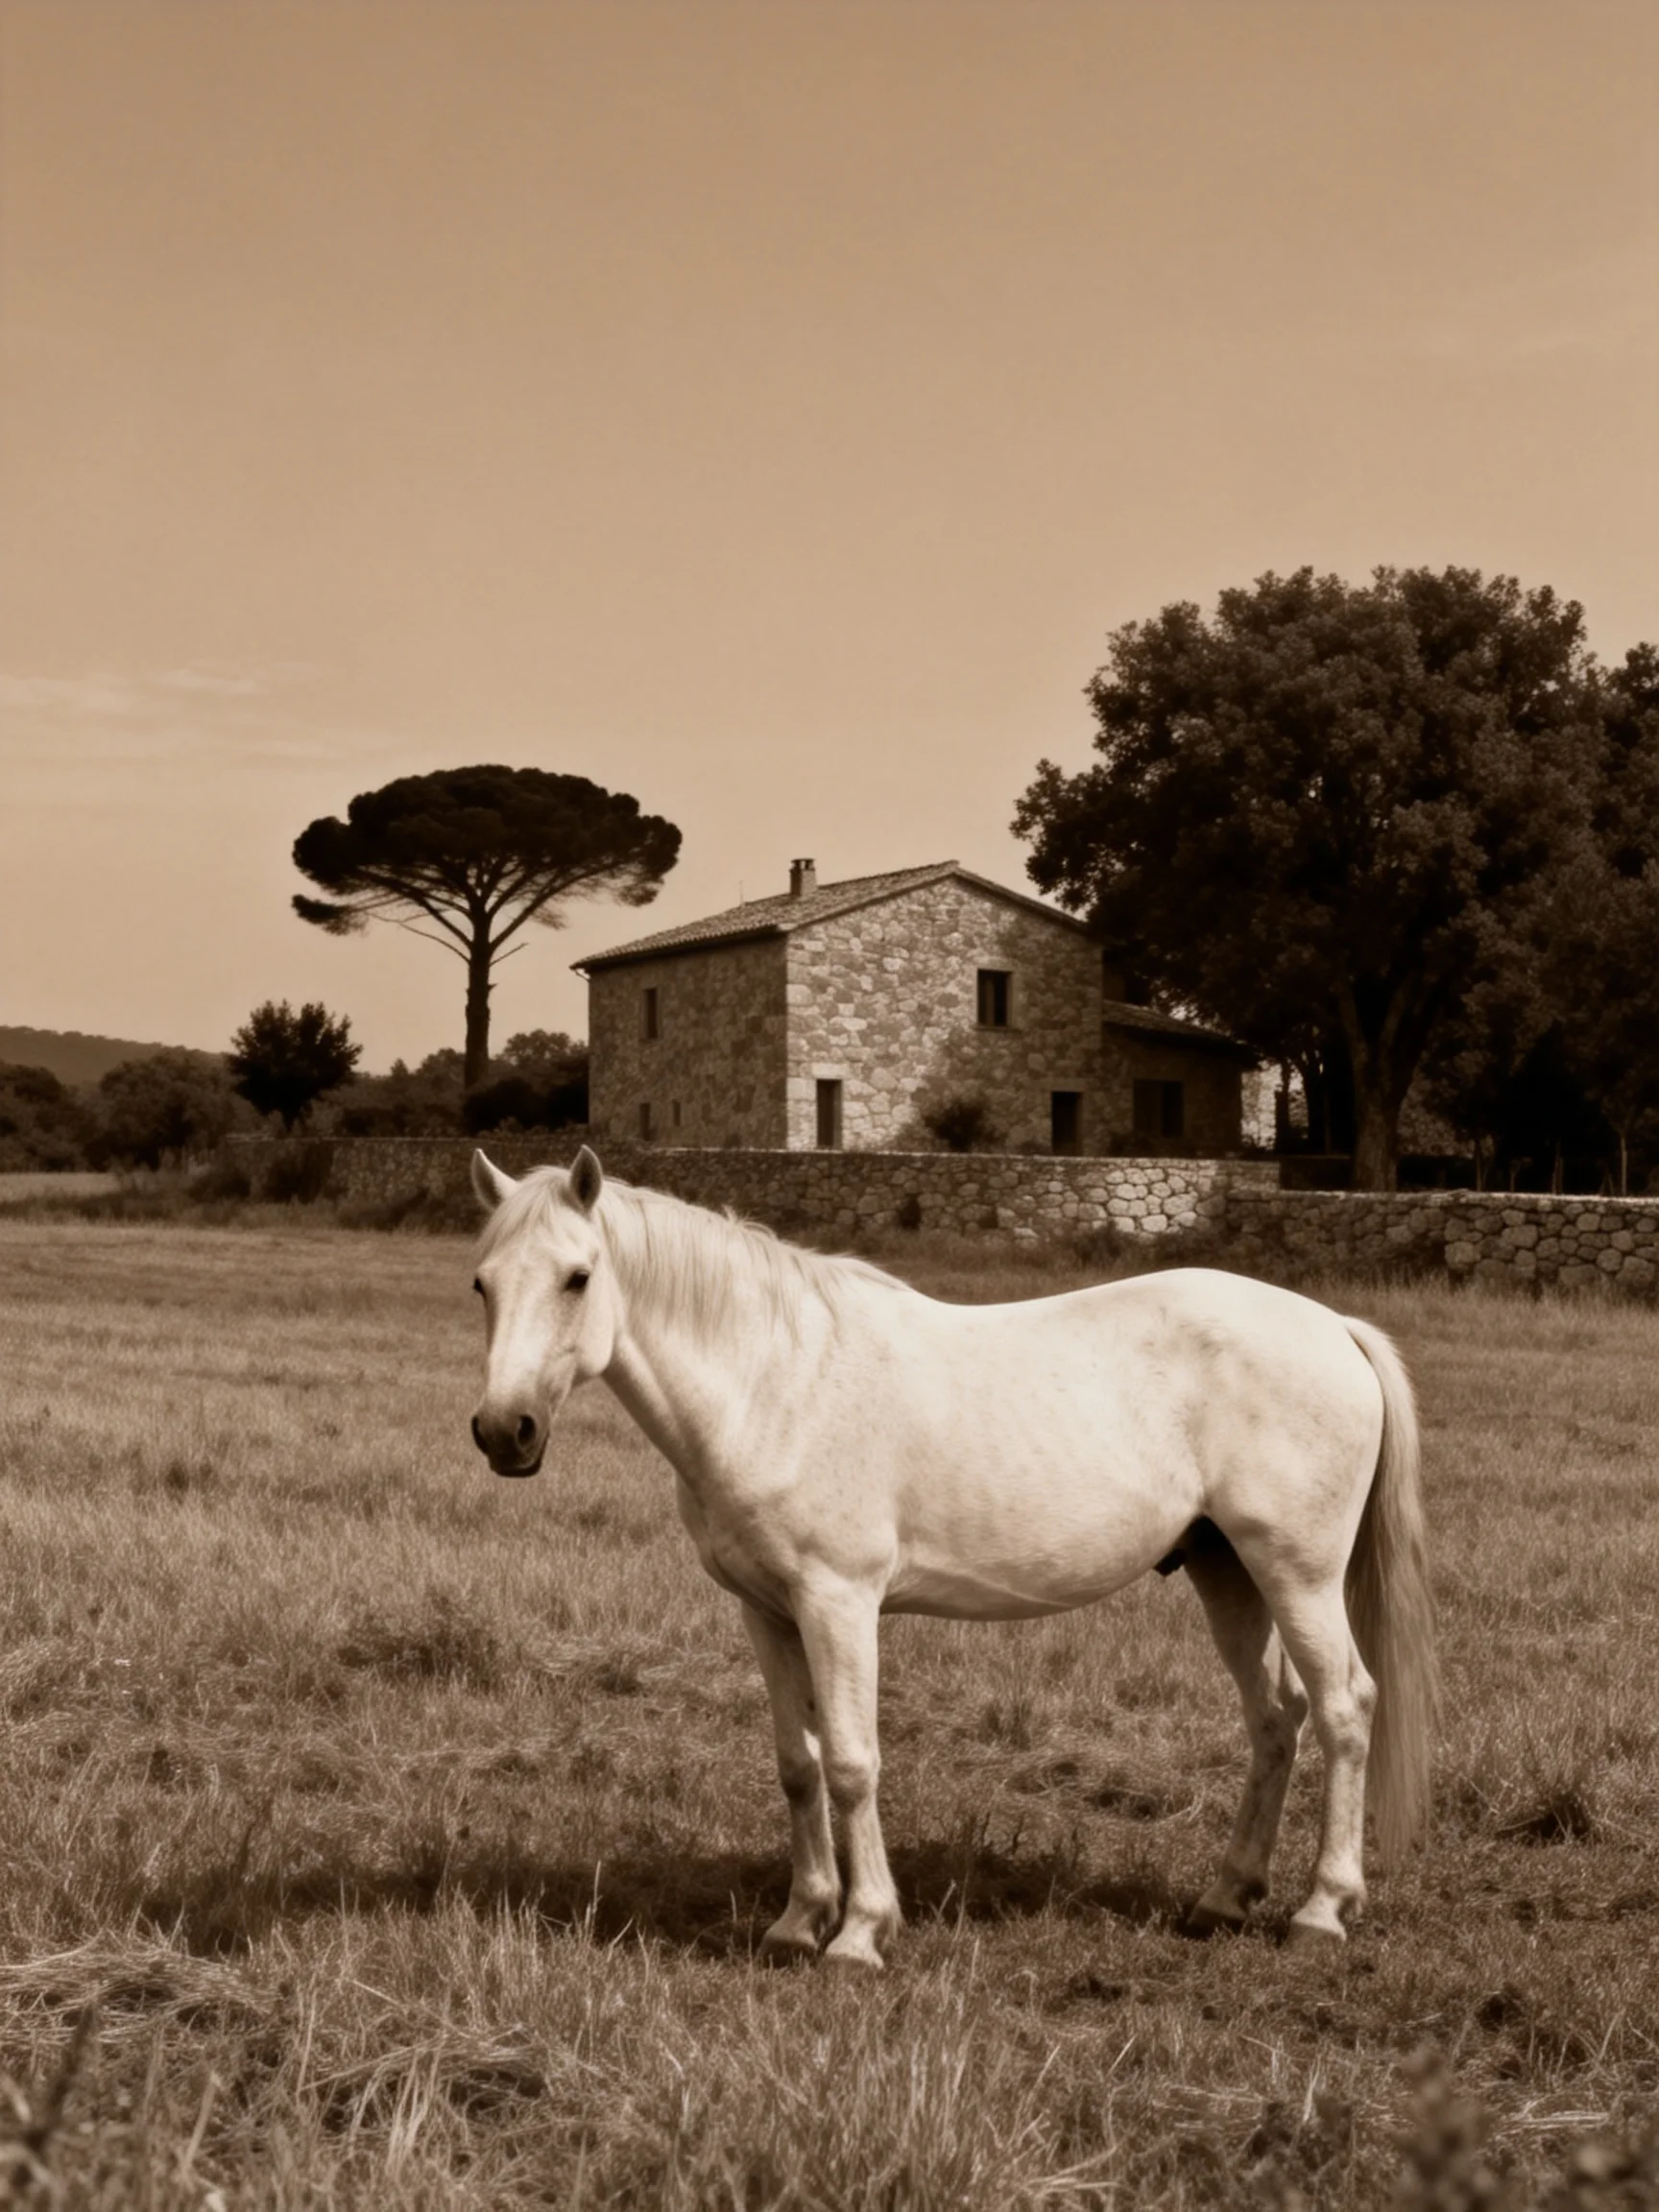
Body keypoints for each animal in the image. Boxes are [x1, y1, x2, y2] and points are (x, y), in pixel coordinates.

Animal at [468, 1146, 1436, 1967]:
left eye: (577, 1277)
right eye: (482, 1283)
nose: (504, 1432)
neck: (775, 1380)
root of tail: (1335, 1327)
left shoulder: (839, 1603)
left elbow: (852, 1762)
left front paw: (860, 1934)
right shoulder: (767, 1610)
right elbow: (798, 1766)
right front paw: (797, 1922)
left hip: (1296, 1574)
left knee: (1345, 1709)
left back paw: (1321, 1911)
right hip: (1225, 1571)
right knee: (1275, 1719)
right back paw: (1224, 1898)